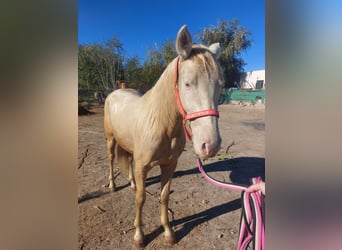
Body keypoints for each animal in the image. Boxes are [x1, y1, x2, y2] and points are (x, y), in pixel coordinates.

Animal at [103, 24, 223, 247]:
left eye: (220, 84)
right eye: (187, 83)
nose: (210, 145)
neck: (161, 124)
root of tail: (115, 93)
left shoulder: (169, 165)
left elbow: (164, 196)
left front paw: (168, 233)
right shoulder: (143, 166)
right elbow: (141, 198)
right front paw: (139, 236)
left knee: (128, 161)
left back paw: (131, 183)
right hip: (110, 139)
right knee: (111, 158)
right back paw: (113, 186)